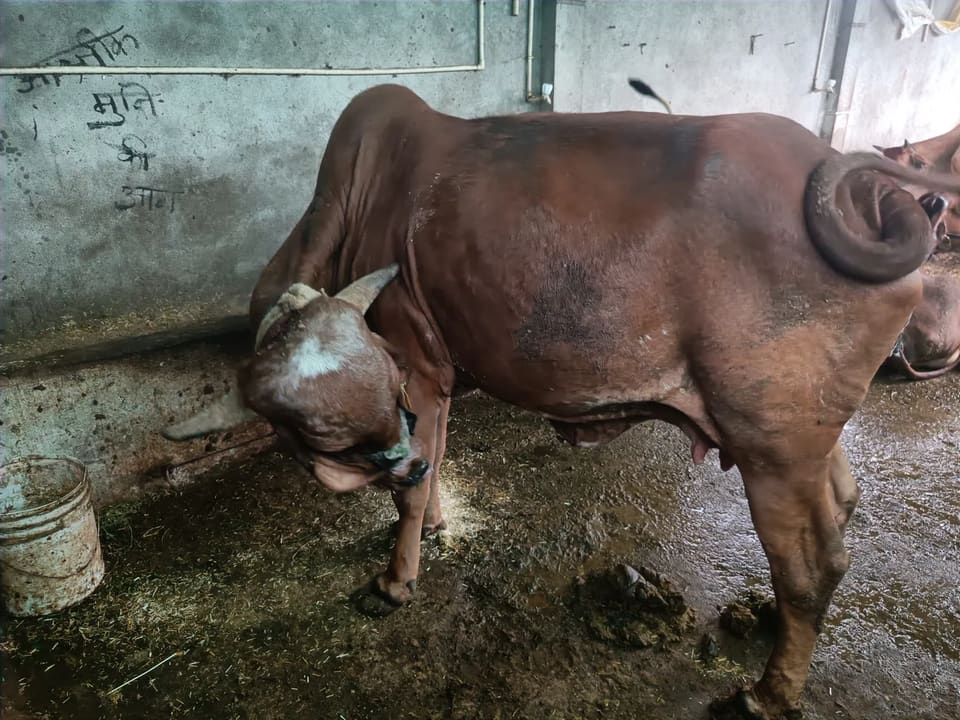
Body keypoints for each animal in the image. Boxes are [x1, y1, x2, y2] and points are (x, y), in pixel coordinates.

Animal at [161, 83, 960, 719]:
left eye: (339, 437)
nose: (393, 459)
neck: (354, 203)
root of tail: (870, 193)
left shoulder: (416, 358)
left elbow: (413, 486)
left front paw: (395, 579)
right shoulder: (431, 376)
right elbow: (435, 453)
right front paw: (436, 519)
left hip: (772, 443)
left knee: (813, 564)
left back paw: (767, 693)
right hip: (807, 434)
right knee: (844, 501)